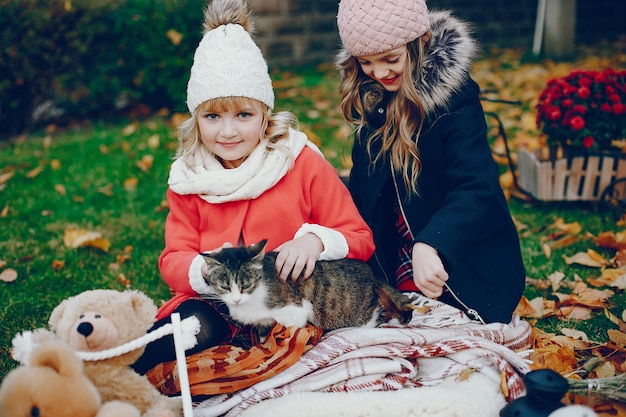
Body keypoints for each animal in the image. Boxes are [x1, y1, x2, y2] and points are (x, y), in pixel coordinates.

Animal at [200, 239, 412, 330]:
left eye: (246, 285)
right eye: (225, 287)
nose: (236, 300)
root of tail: (374, 275)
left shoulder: (295, 311)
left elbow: (291, 324)